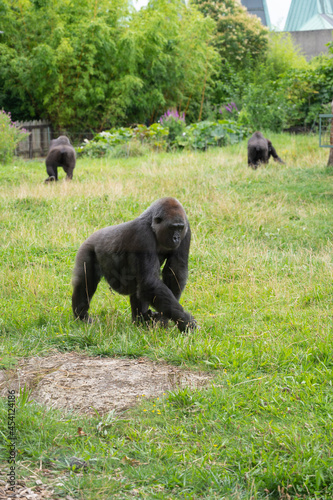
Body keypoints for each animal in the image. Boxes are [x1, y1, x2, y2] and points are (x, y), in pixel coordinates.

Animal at [71, 196, 196, 332]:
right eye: (172, 228)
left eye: (180, 228)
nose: (176, 238)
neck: (152, 225)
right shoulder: (142, 235)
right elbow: (150, 282)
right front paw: (185, 321)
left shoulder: (187, 229)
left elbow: (175, 272)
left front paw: (163, 319)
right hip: (87, 250)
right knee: (85, 283)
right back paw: (81, 316)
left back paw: (140, 321)